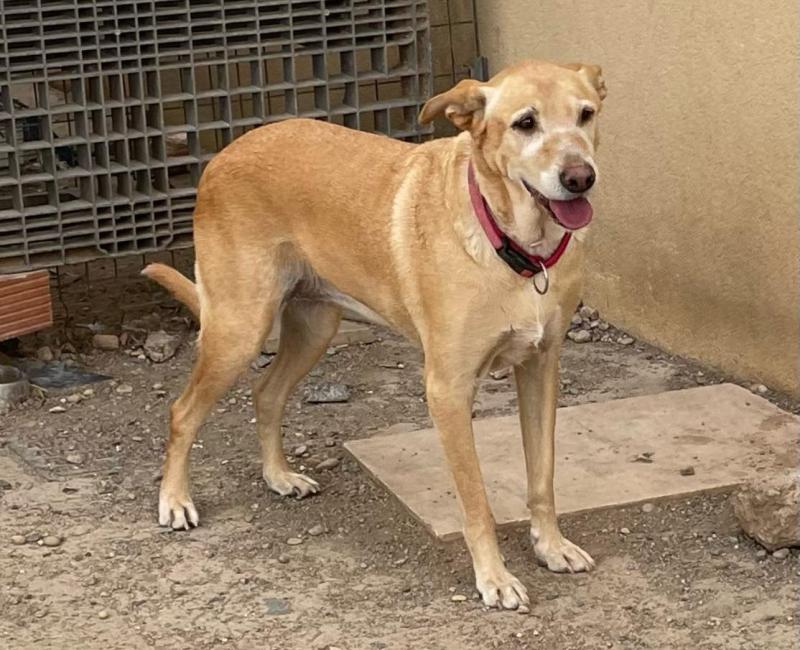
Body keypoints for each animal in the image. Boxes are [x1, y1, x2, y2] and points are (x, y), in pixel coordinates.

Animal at [143, 59, 607, 609]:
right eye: (525, 123)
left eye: (585, 114)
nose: (580, 177)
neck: (516, 246)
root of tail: (225, 153)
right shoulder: (447, 390)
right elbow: (477, 501)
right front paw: (494, 578)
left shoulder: (540, 368)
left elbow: (543, 476)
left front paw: (551, 546)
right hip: (240, 328)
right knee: (182, 412)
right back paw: (175, 500)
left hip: (315, 326)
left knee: (266, 392)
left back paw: (279, 476)